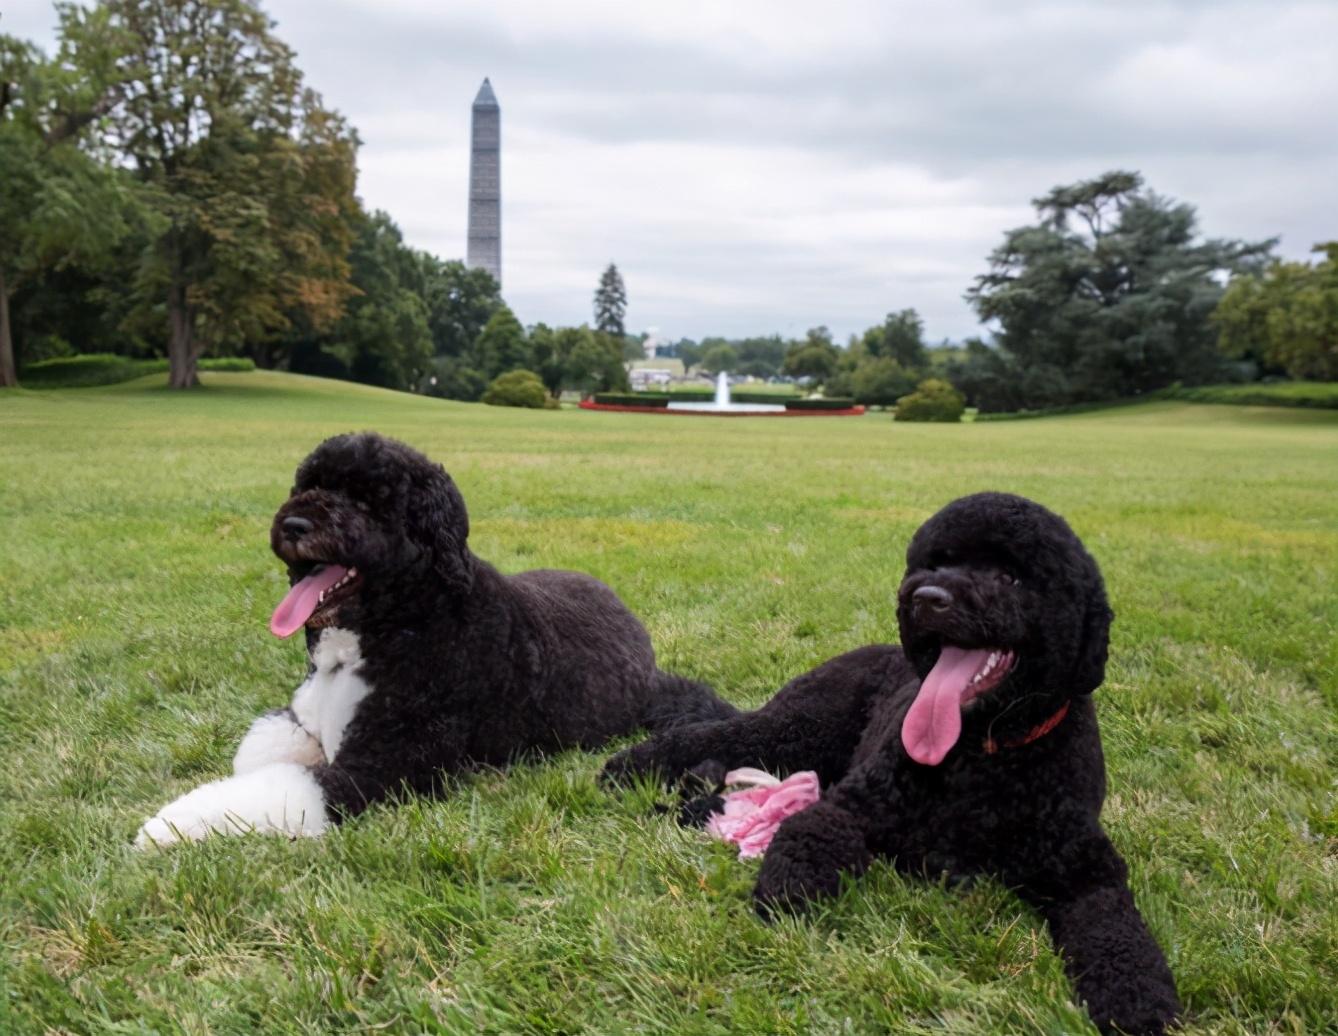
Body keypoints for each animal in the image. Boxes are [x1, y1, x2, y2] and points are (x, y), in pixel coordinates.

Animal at [138, 433, 733, 845]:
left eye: (368, 500)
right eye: (309, 484)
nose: (294, 525)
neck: (395, 625)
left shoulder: (386, 765)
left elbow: (283, 786)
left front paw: (169, 825)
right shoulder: (304, 716)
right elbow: (263, 751)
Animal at [607, 495, 1182, 1036]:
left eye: (1010, 576)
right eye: (937, 562)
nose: (927, 598)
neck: (983, 754)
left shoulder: (1085, 868)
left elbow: (1117, 930)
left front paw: (1138, 999)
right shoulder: (853, 806)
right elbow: (810, 832)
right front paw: (791, 890)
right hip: (797, 728)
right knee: (716, 734)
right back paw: (629, 767)